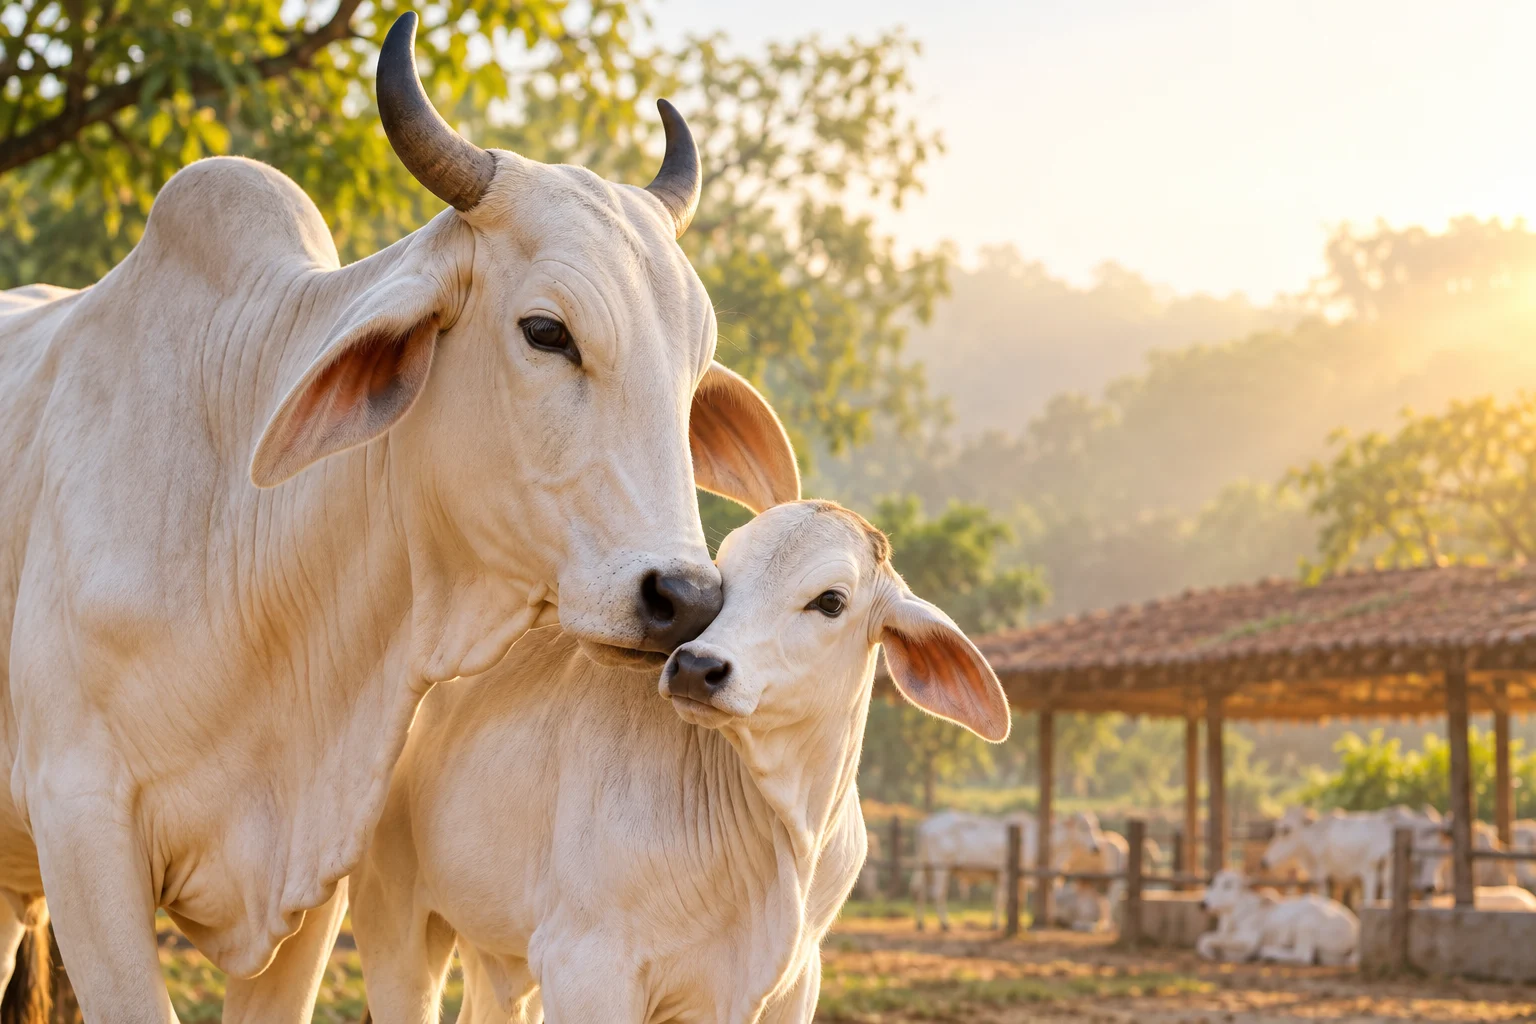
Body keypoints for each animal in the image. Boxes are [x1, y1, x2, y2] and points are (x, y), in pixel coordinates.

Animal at [347, 500, 1012, 1022]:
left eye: (830, 601)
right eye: (725, 577)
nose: (696, 666)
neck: (784, 837)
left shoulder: (794, 984)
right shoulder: (587, 968)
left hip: (497, 954)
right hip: (395, 925)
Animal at [1196, 870, 1358, 966]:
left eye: (1228, 885)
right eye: (1213, 884)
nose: (1203, 904)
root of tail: (1355, 928)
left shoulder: (1247, 940)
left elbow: (1206, 937)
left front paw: (1209, 953)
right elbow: (1208, 937)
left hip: (1305, 923)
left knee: (1303, 956)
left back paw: (1268, 953)